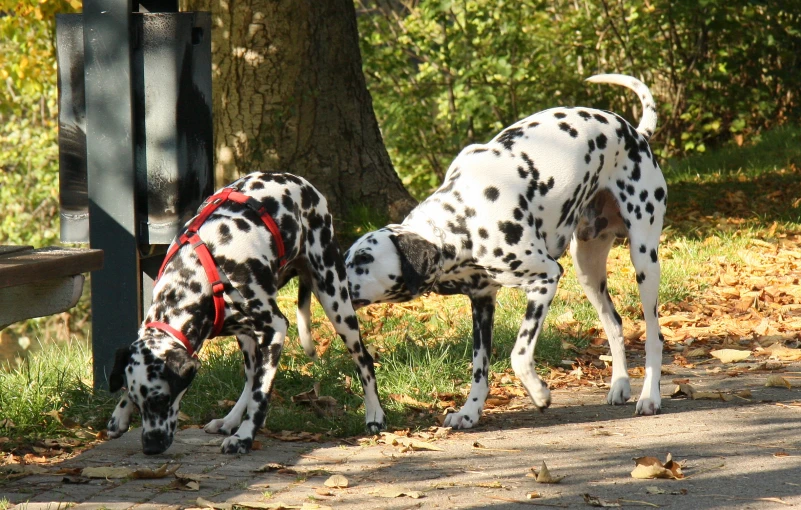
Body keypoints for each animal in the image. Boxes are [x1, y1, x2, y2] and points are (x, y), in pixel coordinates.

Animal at [104, 172, 386, 454]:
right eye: (137, 401)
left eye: (161, 399)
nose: (150, 446)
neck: (193, 277)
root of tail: (301, 181)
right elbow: (254, 386)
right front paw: (120, 414)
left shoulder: (275, 330)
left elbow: (260, 397)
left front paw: (245, 436)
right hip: (248, 338)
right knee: (251, 378)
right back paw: (229, 421)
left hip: (336, 304)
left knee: (363, 359)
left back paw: (374, 414)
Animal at [346, 73, 664, 428]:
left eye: (363, 260)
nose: (331, 287)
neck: (464, 219)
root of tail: (636, 133)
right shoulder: (482, 303)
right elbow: (479, 370)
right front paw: (469, 412)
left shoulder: (545, 279)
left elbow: (518, 355)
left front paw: (538, 392)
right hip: (588, 268)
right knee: (614, 323)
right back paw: (620, 384)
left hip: (644, 260)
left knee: (654, 335)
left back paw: (650, 397)